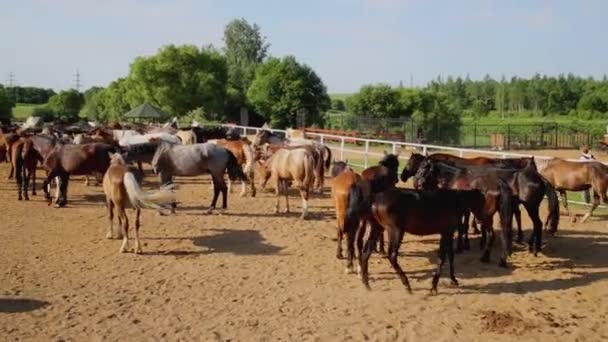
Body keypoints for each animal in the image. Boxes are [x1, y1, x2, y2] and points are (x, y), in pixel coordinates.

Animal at [364, 187, 492, 294]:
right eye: (481, 202)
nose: (482, 219)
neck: (454, 201)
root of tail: (376, 200)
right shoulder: (446, 233)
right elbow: (442, 258)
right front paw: (434, 286)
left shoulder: (449, 233)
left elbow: (450, 256)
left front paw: (453, 280)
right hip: (395, 230)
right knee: (392, 255)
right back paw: (407, 285)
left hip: (378, 228)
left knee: (366, 251)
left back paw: (366, 284)